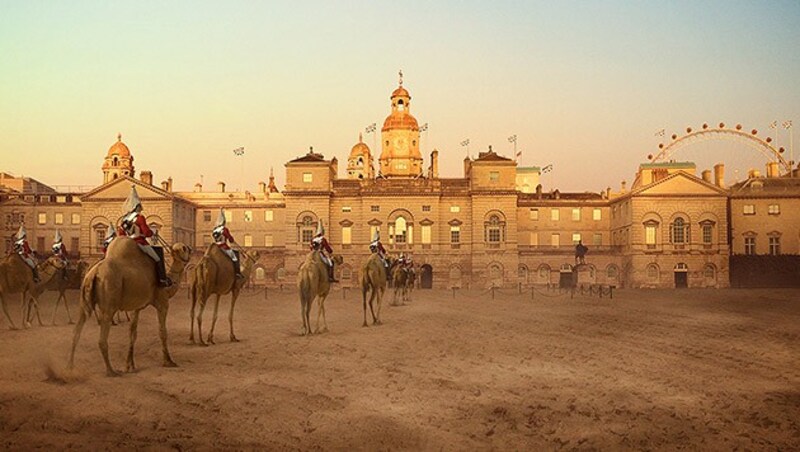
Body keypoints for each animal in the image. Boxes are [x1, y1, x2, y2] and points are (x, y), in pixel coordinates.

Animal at [68, 235, 192, 376]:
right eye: (184, 248)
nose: (191, 248)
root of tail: (94, 273)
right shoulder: (162, 302)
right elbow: (162, 331)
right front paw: (168, 361)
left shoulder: (136, 307)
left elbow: (132, 333)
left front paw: (130, 365)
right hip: (109, 298)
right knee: (102, 337)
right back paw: (111, 370)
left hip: (84, 298)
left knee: (77, 330)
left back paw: (69, 367)